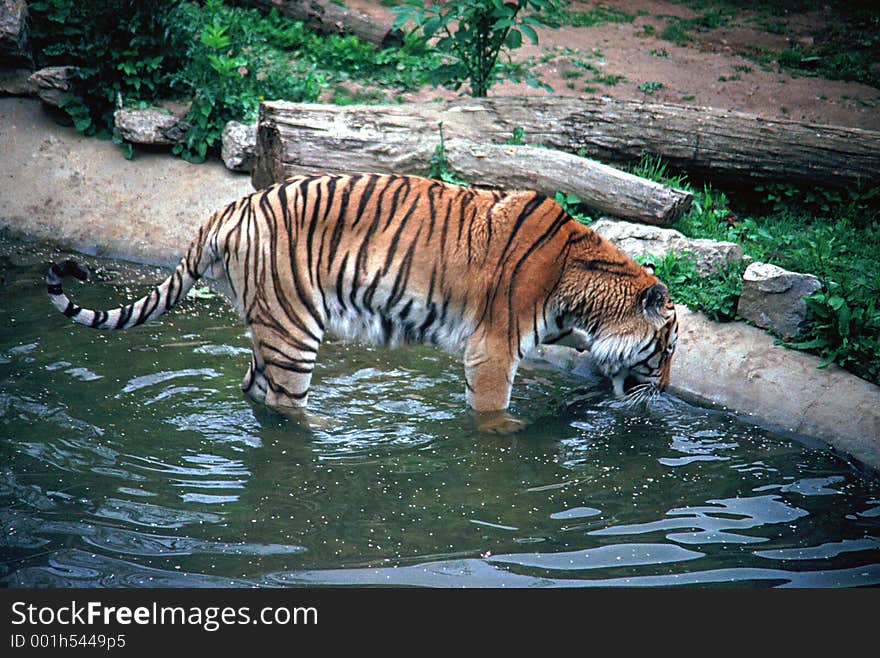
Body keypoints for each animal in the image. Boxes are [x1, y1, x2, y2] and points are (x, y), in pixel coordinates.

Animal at [48, 173, 676, 430]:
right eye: (668, 350)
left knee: (253, 388)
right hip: (293, 327)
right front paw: (508, 434)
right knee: (283, 403)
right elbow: (491, 412)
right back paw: (329, 430)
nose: (668, 388)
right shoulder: (493, 350)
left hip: (270, 325)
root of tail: (227, 208)